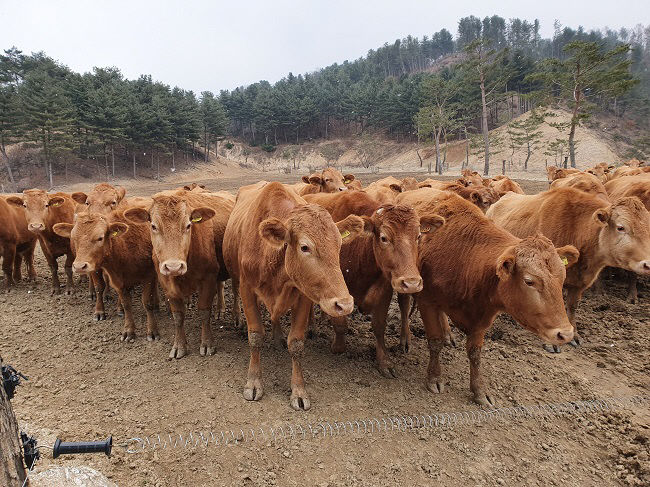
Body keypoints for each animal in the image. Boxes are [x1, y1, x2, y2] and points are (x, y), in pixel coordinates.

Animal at [53, 210, 158, 344]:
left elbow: (147, 303)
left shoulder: (149, 276)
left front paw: (152, 331)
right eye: (73, 238)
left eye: (100, 238)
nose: (79, 266)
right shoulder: (117, 280)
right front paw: (129, 330)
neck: (125, 248)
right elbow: (126, 304)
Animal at [124, 191, 233, 358]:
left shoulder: (208, 278)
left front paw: (207, 343)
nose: (173, 267)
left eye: (188, 225)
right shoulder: (166, 283)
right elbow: (178, 316)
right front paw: (179, 345)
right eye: (153, 226)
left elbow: (204, 312)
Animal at [223, 181, 364, 410]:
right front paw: (253, 382)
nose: (344, 304)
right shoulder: (246, 289)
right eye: (305, 247)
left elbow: (296, 343)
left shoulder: (303, 295)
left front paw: (298, 390)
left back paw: (278, 337)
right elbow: (255, 336)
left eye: (339, 245)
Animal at [402, 191, 576, 408]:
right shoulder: (427, 303)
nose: (565, 334)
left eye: (563, 277)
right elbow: (435, 342)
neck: (467, 258)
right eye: (529, 281)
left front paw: (479, 390)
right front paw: (434, 377)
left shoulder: (483, 317)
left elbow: (475, 354)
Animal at [486, 188, 648, 350]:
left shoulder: (578, 285)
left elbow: (571, 307)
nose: (647, 264)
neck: (577, 229)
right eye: (621, 227)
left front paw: (574, 335)